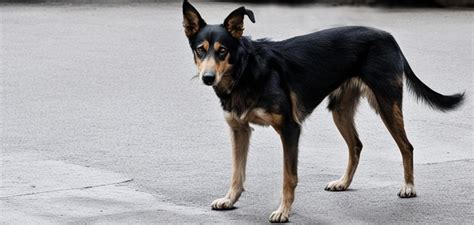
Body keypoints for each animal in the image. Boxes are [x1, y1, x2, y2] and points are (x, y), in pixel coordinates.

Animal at [181, 0, 462, 221]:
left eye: (222, 51)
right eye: (200, 50)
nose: (207, 78)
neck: (245, 71)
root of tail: (388, 36)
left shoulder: (289, 129)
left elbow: (289, 177)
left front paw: (283, 212)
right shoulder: (239, 129)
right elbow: (236, 173)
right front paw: (230, 200)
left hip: (386, 102)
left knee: (406, 146)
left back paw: (408, 187)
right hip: (340, 110)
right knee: (356, 145)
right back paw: (344, 183)